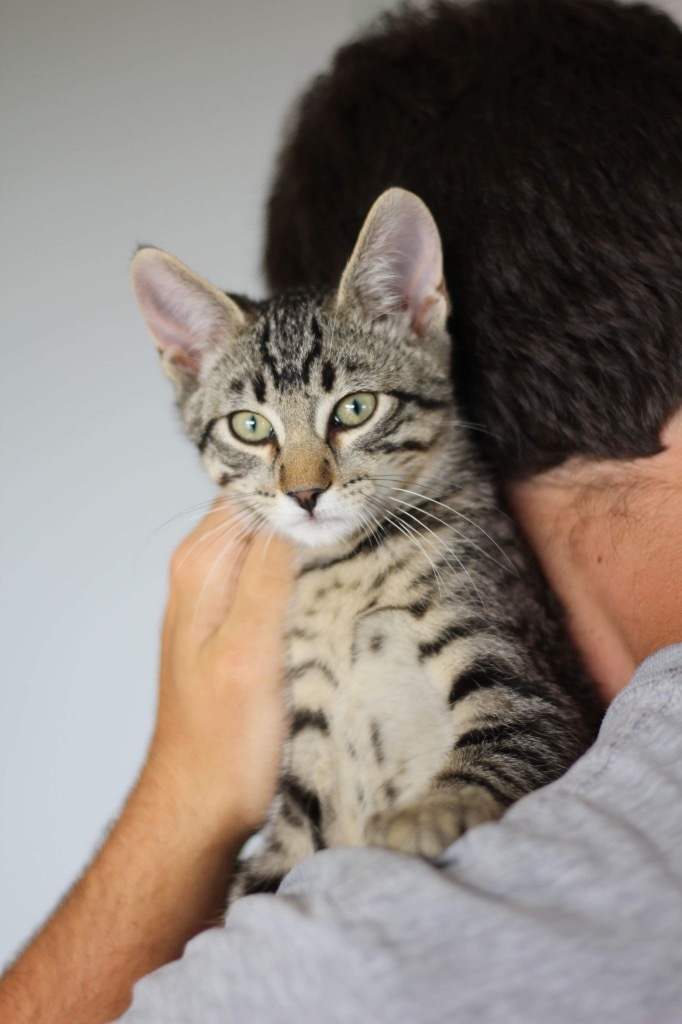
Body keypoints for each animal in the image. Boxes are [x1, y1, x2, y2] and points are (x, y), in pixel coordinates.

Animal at [130, 188, 598, 901]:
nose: (304, 493)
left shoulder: (521, 663)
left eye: (355, 409)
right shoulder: (308, 736)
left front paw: (433, 812)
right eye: (250, 427)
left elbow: (511, 731)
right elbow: (262, 879)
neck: (347, 573)